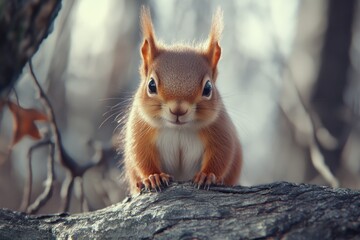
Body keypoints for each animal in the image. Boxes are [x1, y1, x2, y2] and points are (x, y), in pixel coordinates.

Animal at [122, 7, 243, 195]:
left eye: (208, 88)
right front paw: (153, 177)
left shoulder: (220, 129)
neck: (178, 129)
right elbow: (141, 156)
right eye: (151, 85)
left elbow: (221, 155)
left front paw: (207, 176)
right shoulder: (140, 130)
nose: (178, 110)